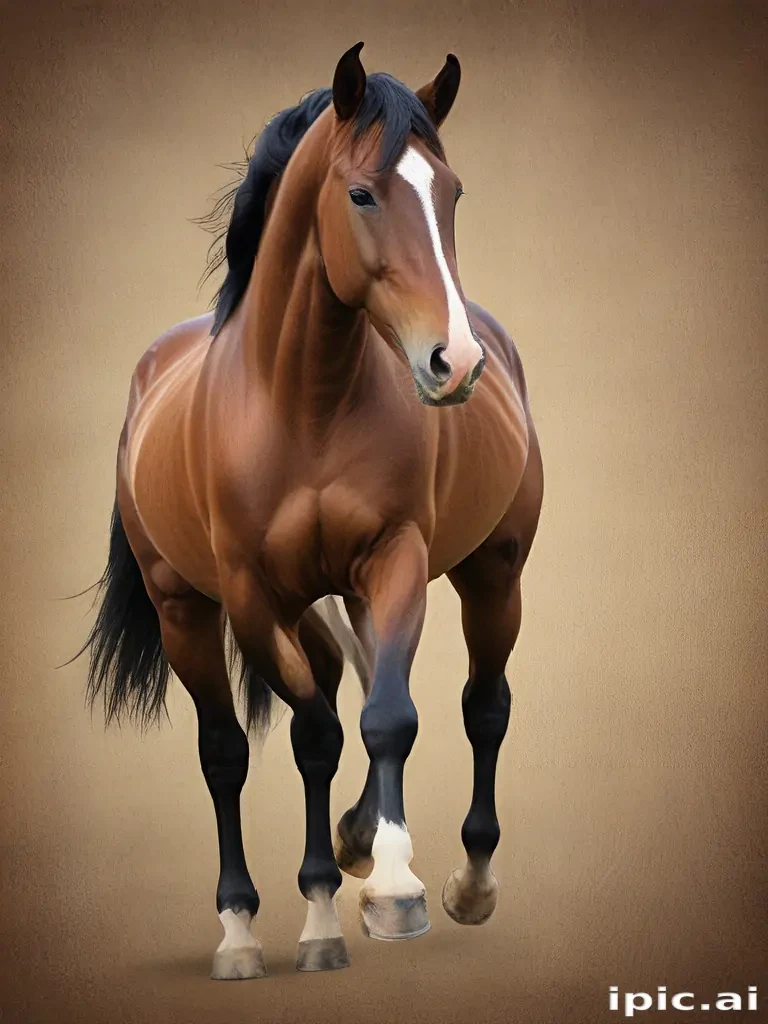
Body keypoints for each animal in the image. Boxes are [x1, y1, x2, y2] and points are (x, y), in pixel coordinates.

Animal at [78, 41, 543, 979]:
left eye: (453, 193)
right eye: (362, 193)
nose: (455, 359)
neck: (304, 402)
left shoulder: (396, 559)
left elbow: (386, 717)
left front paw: (391, 890)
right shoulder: (251, 595)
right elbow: (312, 735)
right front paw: (324, 901)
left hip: (490, 572)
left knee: (480, 703)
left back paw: (457, 880)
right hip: (191, 608)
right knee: (232, 749)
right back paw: (246, 924)